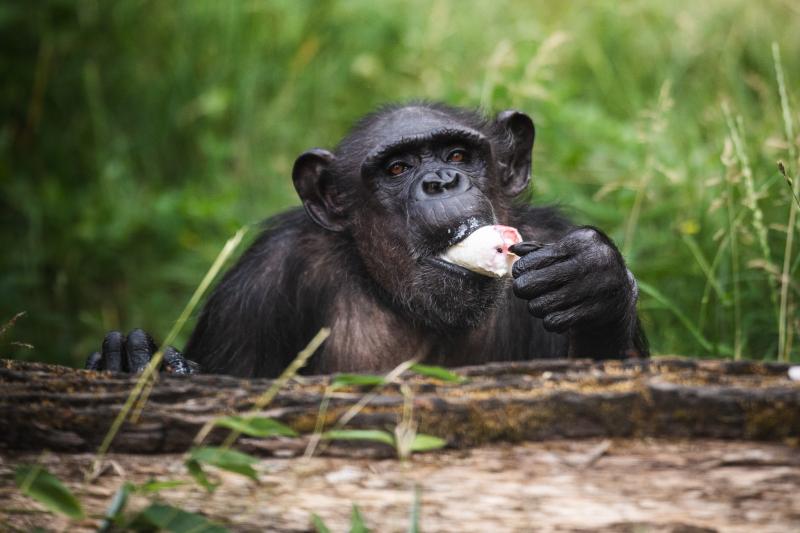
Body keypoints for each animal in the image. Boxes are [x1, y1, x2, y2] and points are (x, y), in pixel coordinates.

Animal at [84, 102, 648, 376]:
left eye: (459, 155)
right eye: (397, 168)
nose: (441, 181)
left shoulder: (547, 238)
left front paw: (595, 279)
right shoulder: (255, 291)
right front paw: (137, 361)